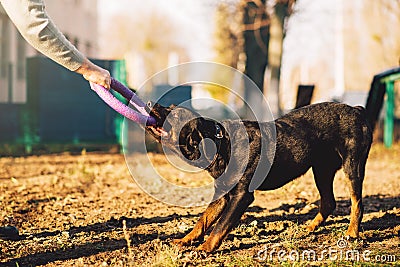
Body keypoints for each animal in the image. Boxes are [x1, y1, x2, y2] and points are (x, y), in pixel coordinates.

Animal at [145, 102, 374, 253]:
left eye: (175, 115)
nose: (150, 103)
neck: (221, 144)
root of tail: (357, 110)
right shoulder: (222, 196)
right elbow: (203, 220)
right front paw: (185, 240)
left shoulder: (241, 196)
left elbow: (220, 226)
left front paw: (205, 248)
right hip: (321, 170)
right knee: (328, 202)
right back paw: (309, 228)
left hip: (352, 166)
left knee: (357, 202)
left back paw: (352, 233)